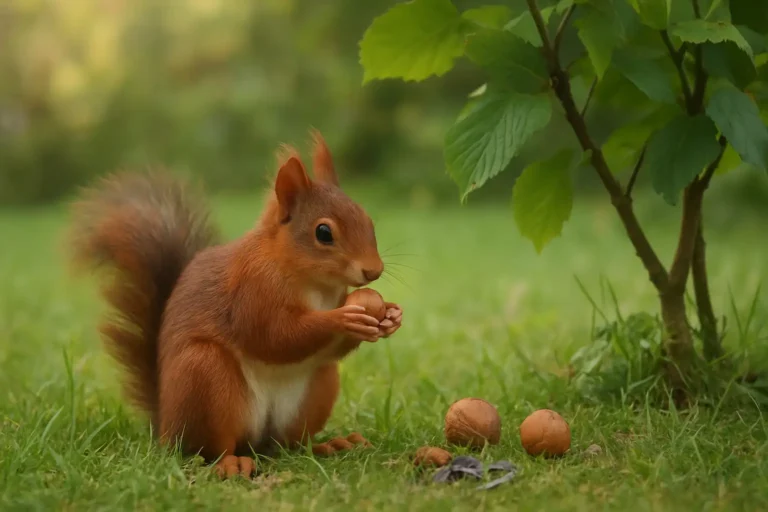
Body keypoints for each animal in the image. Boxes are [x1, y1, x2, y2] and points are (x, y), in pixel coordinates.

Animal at [68, 130, 403, 479]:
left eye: (368, 221)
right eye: (323, 233)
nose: (373, 271)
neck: (314, 284)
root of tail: (166, 427)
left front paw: (391, 317)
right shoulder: (252, 290)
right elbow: (275, 336)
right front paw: (341, 320)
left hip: (318, 388)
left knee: (289, 443)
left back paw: (328, 446)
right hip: (205, 376)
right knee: (210, 447)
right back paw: (231, 462)